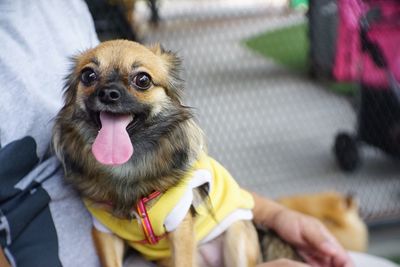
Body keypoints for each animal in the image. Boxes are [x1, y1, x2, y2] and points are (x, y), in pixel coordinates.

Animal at [51, 39, 260, 267]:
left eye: (143, 79)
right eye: (88, 75)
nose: (108, 93)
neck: (127, 165)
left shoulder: (180, 225)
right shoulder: (104, 231)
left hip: (236, 236)